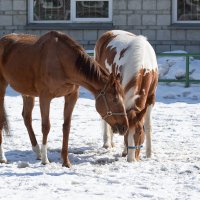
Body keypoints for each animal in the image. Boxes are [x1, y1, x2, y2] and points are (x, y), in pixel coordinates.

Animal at [0, 30, 128, 166]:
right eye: (115, 99)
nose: (124, 127)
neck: (62, 61)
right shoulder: (45, 97)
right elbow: (46, 126)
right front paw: (45, 160)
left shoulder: (71, 96)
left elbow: (66, 126)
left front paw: (66, 161)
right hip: (2, 88)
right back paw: (3, 157)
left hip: (27, 93)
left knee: (27, 118)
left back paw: (37, 151)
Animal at [94, 29, 159, 162]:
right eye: (126, 132)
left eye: (139, 132)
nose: (131, 159)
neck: (143, 66)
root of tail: (108, 33)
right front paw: (124, 151)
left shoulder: (151, 98)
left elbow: (148, 125)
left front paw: (149, 154)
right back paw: (107, 143)